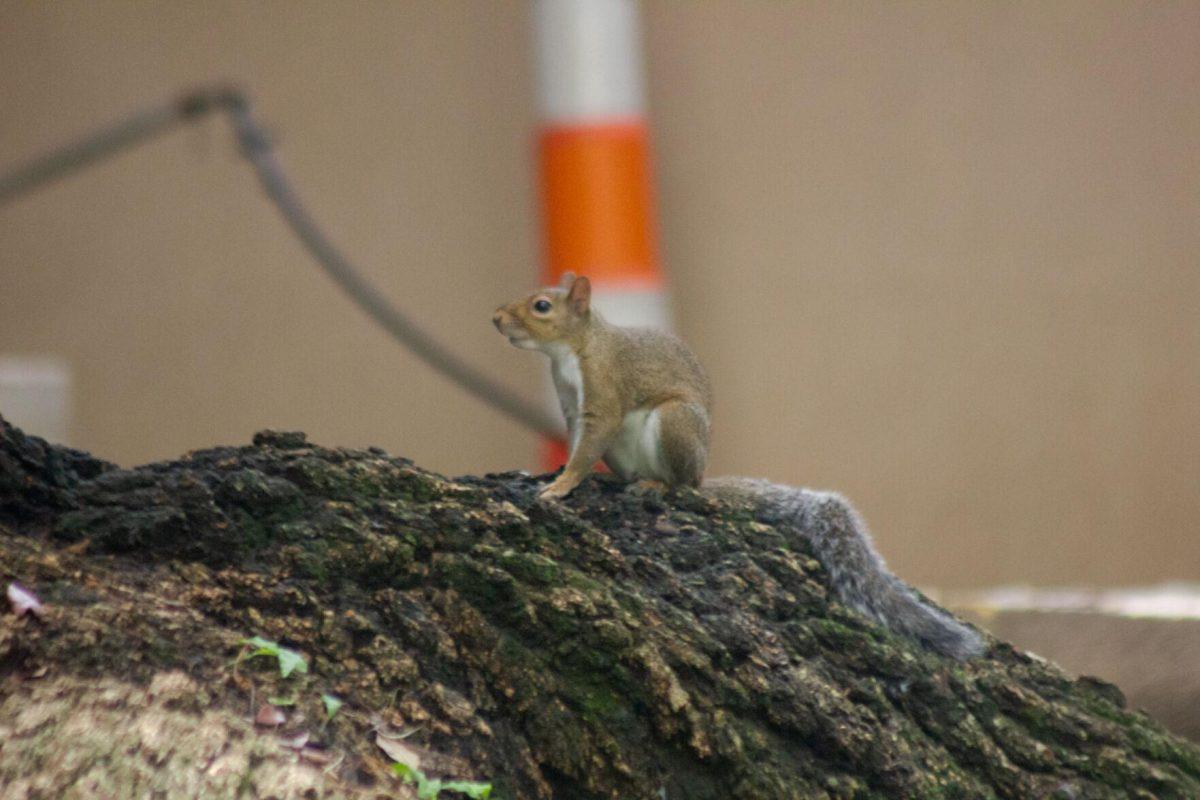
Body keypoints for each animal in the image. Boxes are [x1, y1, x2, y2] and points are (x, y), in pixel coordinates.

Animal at [494, 275, 984, 662]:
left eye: (541, 306)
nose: (496, 318)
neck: (573, 351)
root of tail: (701, 476)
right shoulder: (571, 408)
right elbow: (578, 444)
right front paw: (556, 476)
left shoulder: (606, 393)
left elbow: (588, 445)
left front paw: (561, 486)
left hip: (675, 424)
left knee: (681, 486)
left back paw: (656, 485)